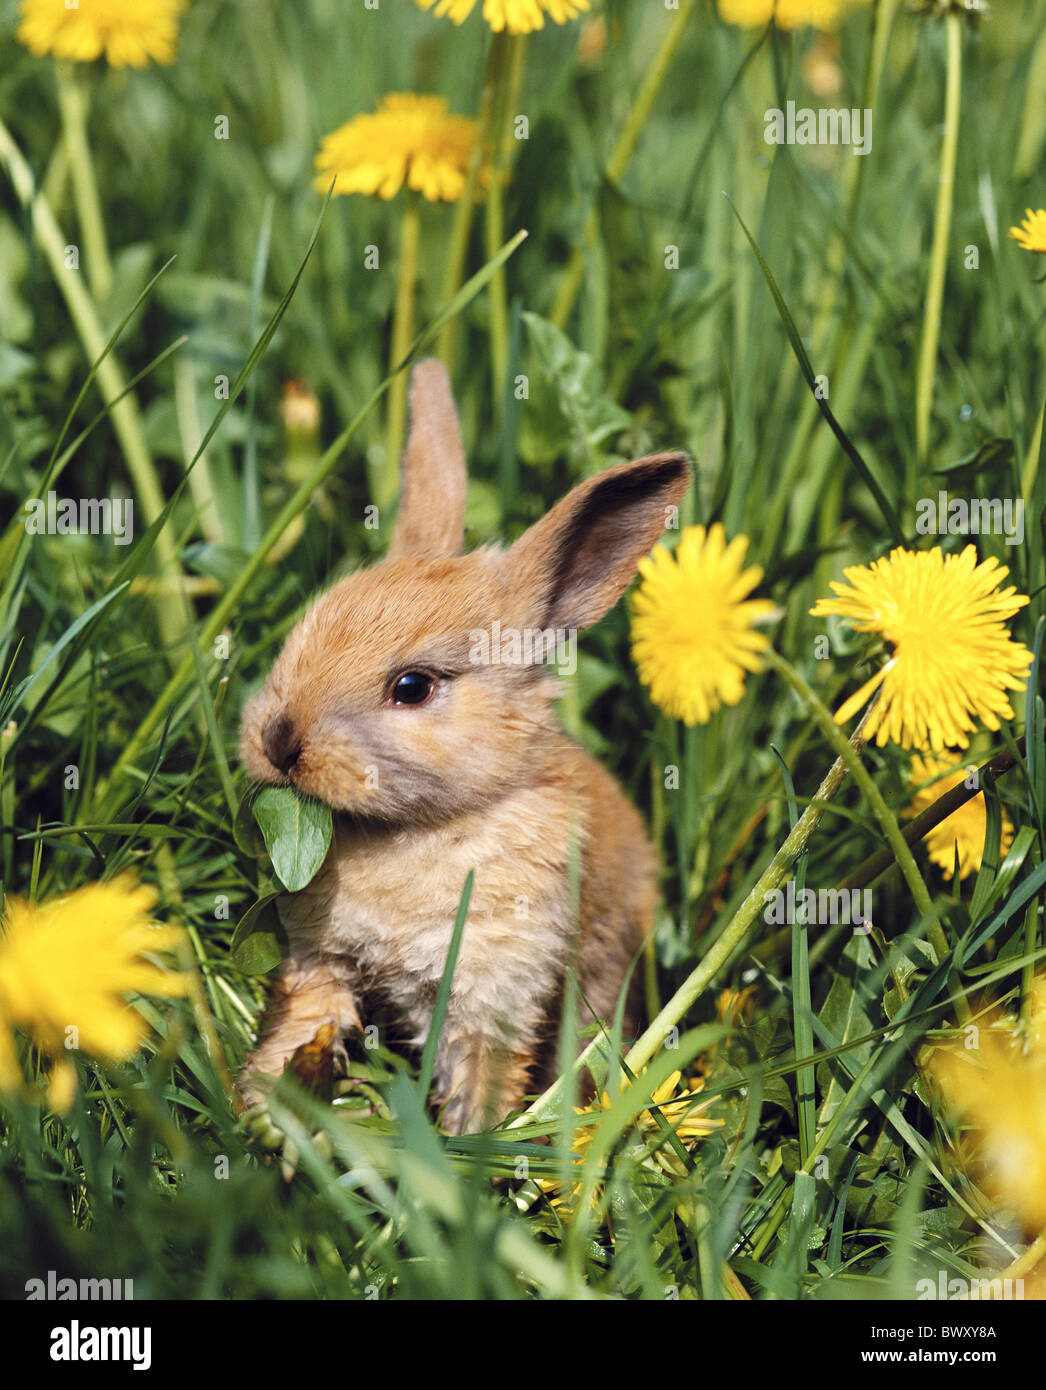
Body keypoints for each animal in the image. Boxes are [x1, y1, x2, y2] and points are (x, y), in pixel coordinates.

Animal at [239, 358, 690, 1134]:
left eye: (413, 687)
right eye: (304, 630)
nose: (279, 740)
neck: (420, 830)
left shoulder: (491, 995)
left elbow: (482, 1073)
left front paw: (471, 1148)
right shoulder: (319, 962)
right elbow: (302, 1025)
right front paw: (260, 1108)